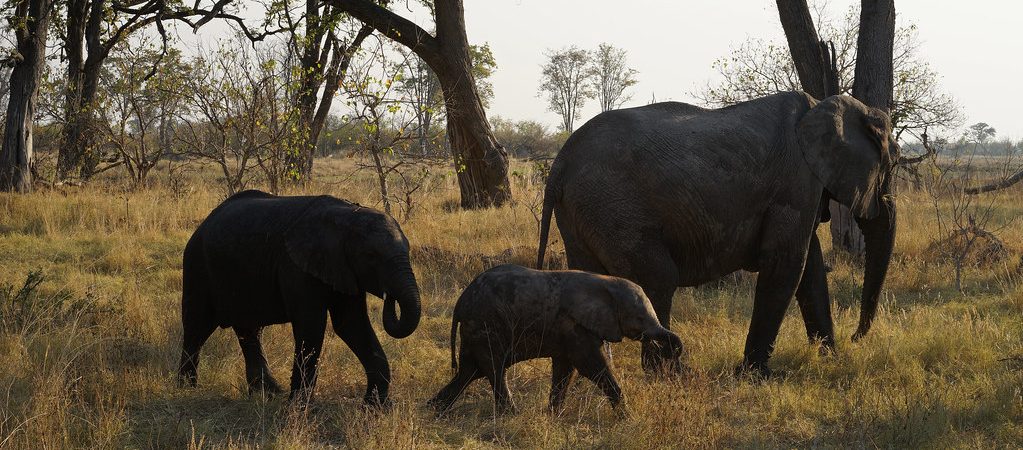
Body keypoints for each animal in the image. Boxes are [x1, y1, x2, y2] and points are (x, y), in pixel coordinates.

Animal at [177, 190, 421, 406]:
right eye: (371, 256)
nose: (389, 296)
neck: (346, 216)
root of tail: (204, 223)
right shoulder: (295, 267)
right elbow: (312, 325)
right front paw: (298, 408)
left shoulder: (343, 270)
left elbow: (352, 324)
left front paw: (375, 407)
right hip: (197, 266)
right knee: (197, 327)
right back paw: (187, 390)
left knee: (250, 330)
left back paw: (268, 394)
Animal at [428, 264, 683, 413]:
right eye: (639, 318)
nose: (674, 351)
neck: (605, 281)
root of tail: (460, 303)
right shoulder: (574, 326)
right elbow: (592, 366)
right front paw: (625, 416)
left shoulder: (567, 330)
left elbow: (565, 368)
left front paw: (552, 415)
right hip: (486, 324)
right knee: (494, 368)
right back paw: (510, 414)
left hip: (476, 329)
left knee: (470, 371)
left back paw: (433, 409)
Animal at [536, 92, 897, 377]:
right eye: (891, 165)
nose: (856, 337)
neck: (823, 105)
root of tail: (560, 163)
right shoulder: (797, 181)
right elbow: (787, 264)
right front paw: (757, 376)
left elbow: (810, 266)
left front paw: (829, 360)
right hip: (613, 206)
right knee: (658, 279)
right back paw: (674, 375)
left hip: (582, 210)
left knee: (591, 280)